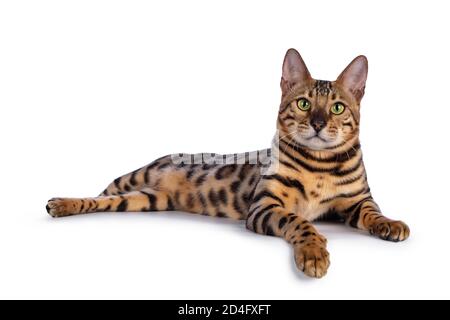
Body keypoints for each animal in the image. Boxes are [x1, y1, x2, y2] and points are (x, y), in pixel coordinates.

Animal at [47, 48, 410, 278]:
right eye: (304, 104)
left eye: (337, 108)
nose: (319, 123)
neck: (320, 165)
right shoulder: (265, 206)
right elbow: (300, 223)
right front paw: (313, 253)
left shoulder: (356, 201)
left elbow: (374, 213)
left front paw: (391, 223)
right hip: (134, 177)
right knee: (97, 194)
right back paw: (60, 203)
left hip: (147, 199)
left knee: (107, 201)